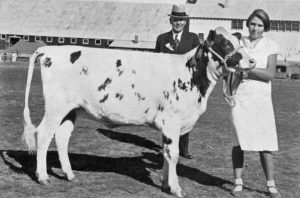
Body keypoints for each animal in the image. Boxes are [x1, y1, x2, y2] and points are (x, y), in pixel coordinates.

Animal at [22, 27, 253, 197]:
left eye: (239, 42)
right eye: (226, 44)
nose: (252, 61)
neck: (192, 77)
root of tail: (49, 51)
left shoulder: (170, 126)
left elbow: (167, 153)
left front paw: (165, 184)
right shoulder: (172, 121)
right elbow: (174, 154)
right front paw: (176, 188)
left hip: (71, 109)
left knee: (61, 137)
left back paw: (69, 174)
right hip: (56, 107)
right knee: (43, 134)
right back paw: (43, 177)